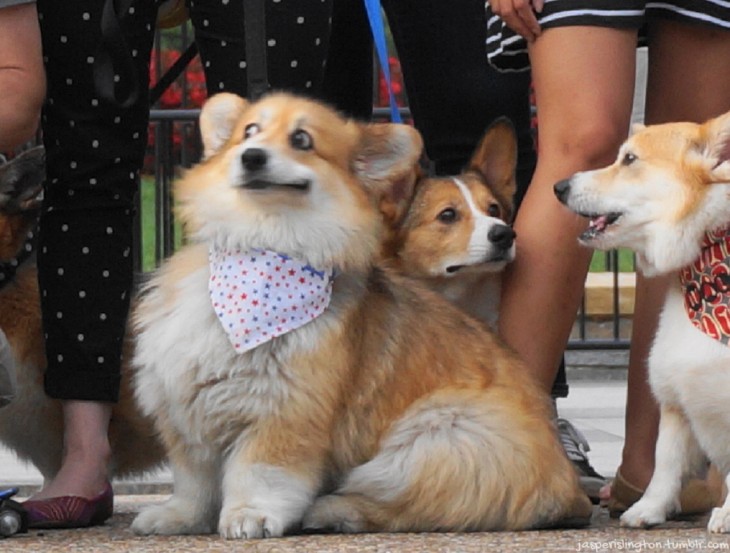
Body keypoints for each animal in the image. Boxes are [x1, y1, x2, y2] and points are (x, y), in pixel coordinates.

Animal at [128, 92, 588, 536]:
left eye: (302, 139)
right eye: (249, 131)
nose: (251, 156)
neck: (259, 249)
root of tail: (569, 487)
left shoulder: (285, 410)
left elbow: (261, 473)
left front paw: (249, 516)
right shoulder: (187, 410)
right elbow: (195, 480)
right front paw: (180, 517)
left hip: (435, 433)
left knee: (410, 502)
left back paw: (331, 509)